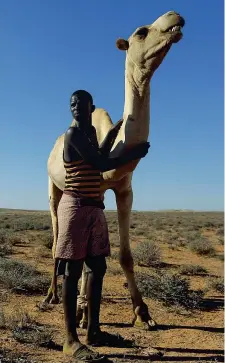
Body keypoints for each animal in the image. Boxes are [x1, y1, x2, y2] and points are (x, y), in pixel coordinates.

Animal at [43, 9, 185, 332]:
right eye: (141, 32)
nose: (175, 16)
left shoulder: (124, 190)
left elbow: (124, 256)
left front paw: (142, 313)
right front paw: (81, 311)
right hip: (52, 186)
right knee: (57, 238)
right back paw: (51, 296)